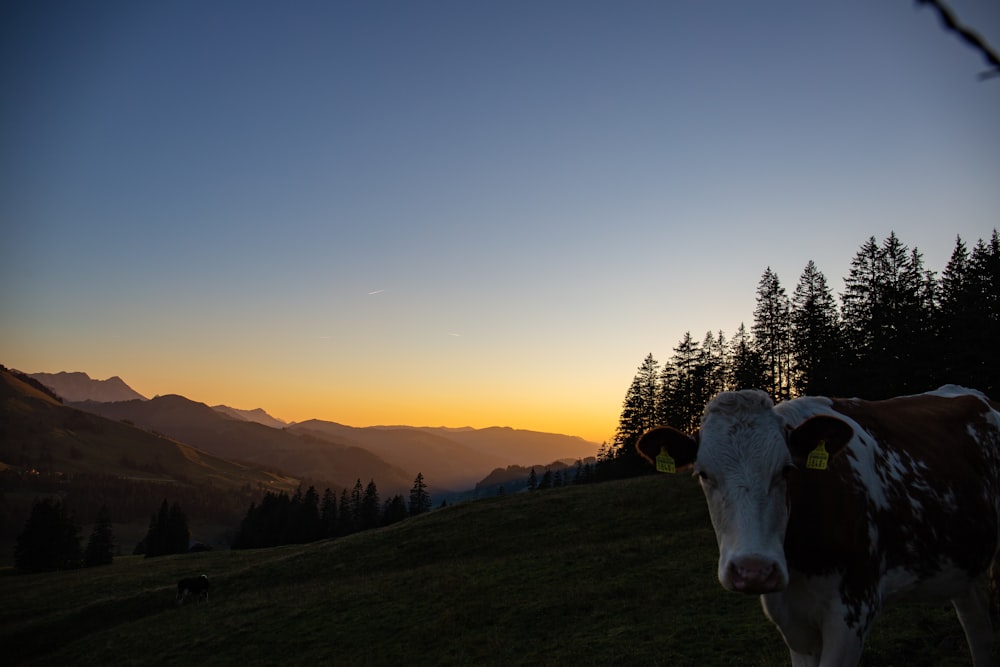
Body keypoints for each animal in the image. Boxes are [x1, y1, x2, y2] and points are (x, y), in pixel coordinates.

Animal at [636, 384, 1000, 664]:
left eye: (787, 470)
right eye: (703, 474)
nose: (753, 571)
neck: (799, 563)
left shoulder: (852, 611)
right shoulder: (792, 621)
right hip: (963, 564)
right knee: (979, 628)